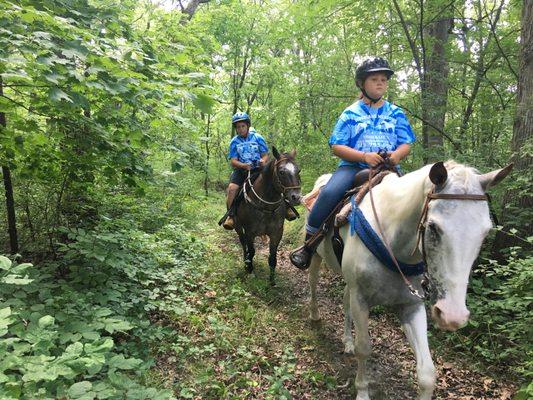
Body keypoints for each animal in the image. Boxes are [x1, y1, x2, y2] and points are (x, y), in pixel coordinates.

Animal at [235, 147, 302, 284]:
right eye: (281, 172)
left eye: (298, 170)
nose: (296, 197)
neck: (266, 207)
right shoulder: (250, 233)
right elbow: (251, 251)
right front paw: (249, 271)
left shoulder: (276, 233)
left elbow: (272, 257)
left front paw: (272, 281)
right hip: (238, 227)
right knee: (243, 244)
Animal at [308, 161, 512, 398]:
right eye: (433, 227)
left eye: (485, 232)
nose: (452, 316)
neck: (391, 241)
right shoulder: (361, 300)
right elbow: (364, 348)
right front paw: (362, 391)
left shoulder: (411, 306)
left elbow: (427, 373)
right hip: (316, 257)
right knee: (313, 283)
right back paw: (315, 315)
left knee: (344, 299)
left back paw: (347, 341)